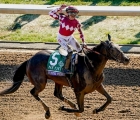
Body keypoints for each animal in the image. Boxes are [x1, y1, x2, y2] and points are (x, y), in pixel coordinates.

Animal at [0, 34, 129, 119]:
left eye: (119, 47)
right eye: (113, 49)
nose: (127, 59)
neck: (90, 65)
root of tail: (29, 60)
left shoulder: (98, 86)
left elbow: (109, 99)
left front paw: (96, 110)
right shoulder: (79, 91)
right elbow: (81, 109)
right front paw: (64, 109)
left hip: (58, 81)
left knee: (57, 94)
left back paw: (70, 105)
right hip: (41, 82)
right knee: (34, 92)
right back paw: (48, 112)